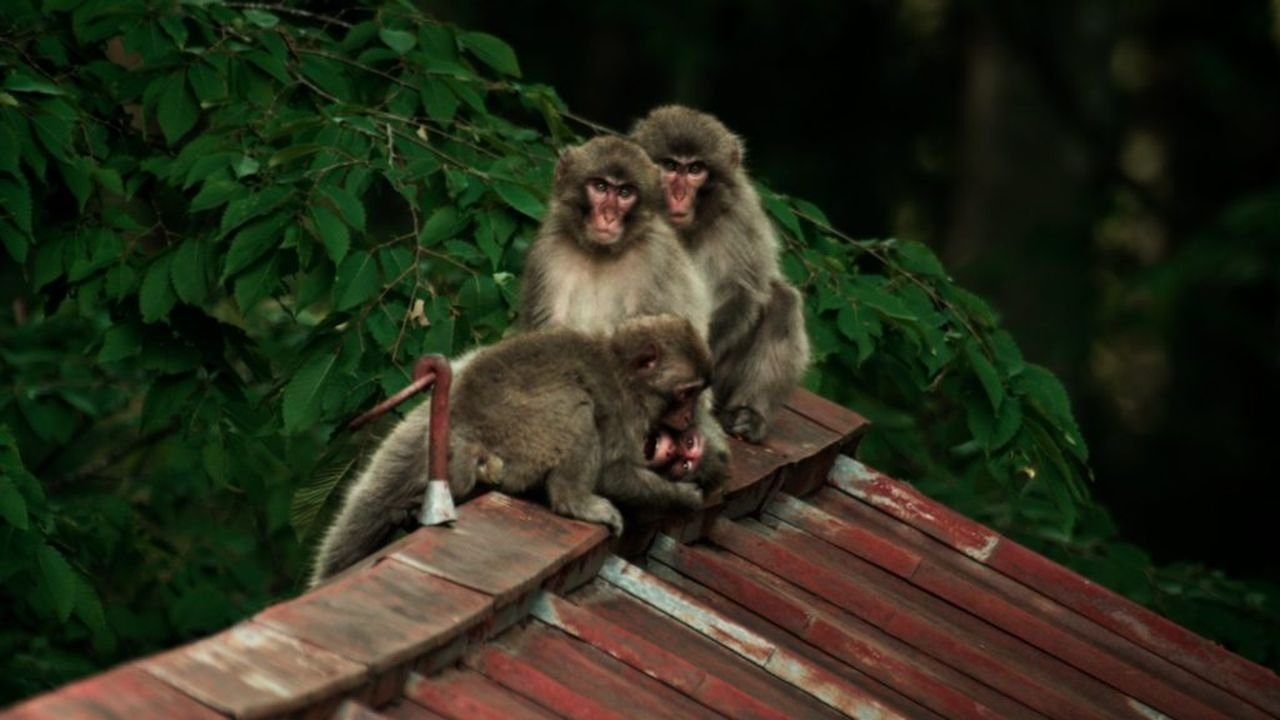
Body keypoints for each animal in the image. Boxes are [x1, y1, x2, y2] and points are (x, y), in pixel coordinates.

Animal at [629, 106, 808, 443]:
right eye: (670, 165)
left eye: (696, 169)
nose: (679, 194)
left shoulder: (741, 212)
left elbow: (744, 292)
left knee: (782, 299)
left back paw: (749, 417)